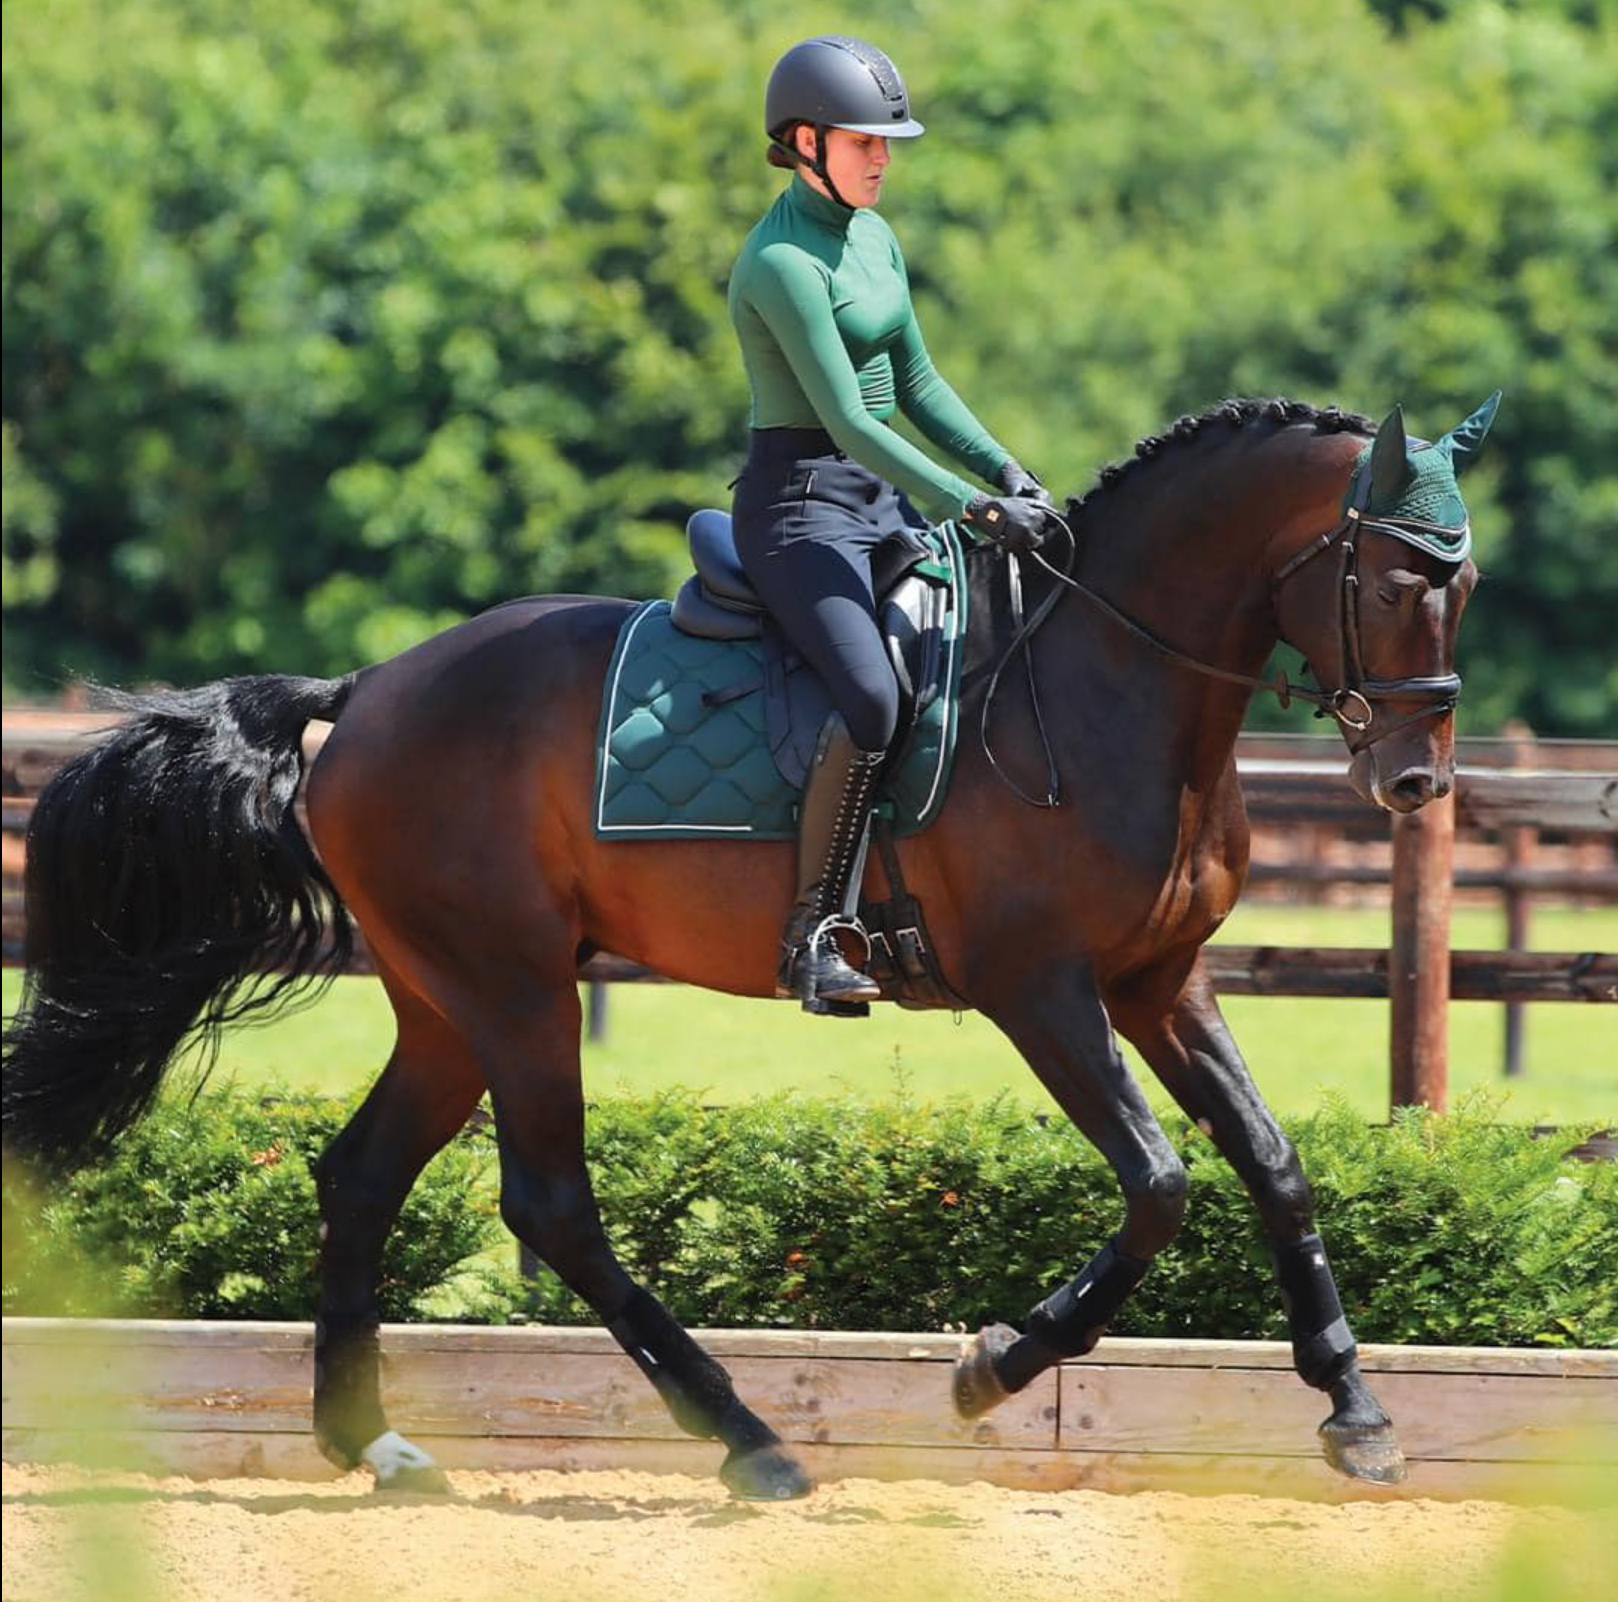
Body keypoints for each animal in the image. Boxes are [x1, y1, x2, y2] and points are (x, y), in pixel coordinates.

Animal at [3, 392, 1497, 1500]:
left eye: (1464, 581)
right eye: (1389, 580)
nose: (1416, 780)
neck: (1107, 682)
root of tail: (367, 690)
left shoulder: (1157, 980)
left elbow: (1272, 1162)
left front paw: (1356, 1410)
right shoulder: (1041, 988)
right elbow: (1160, 1186)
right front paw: (992, 1365)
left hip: (447, 999)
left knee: (363, 1174)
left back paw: (371, 1442)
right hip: (515, 987)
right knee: (551, 1203)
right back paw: (749, 1441)